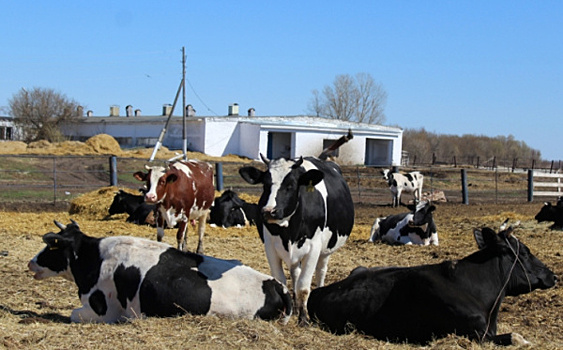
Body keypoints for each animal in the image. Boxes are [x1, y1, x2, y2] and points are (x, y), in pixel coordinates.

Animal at [27, 220, 294, 324]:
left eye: (51, 246)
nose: (31, 262)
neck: (94, 257)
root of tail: (276, 284)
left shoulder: (104, 311)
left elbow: (73, 314)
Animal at [239, 154, 354, 324]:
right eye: (265, 185)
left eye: (291, 185)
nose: (268, 211)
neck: (288, 231)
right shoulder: (270, 247)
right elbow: (282, 281)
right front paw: (286, 311)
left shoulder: (313, 248)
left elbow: (303, 287)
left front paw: (303, 319)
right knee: (295, 272)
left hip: (326, 250)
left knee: (321, 270)